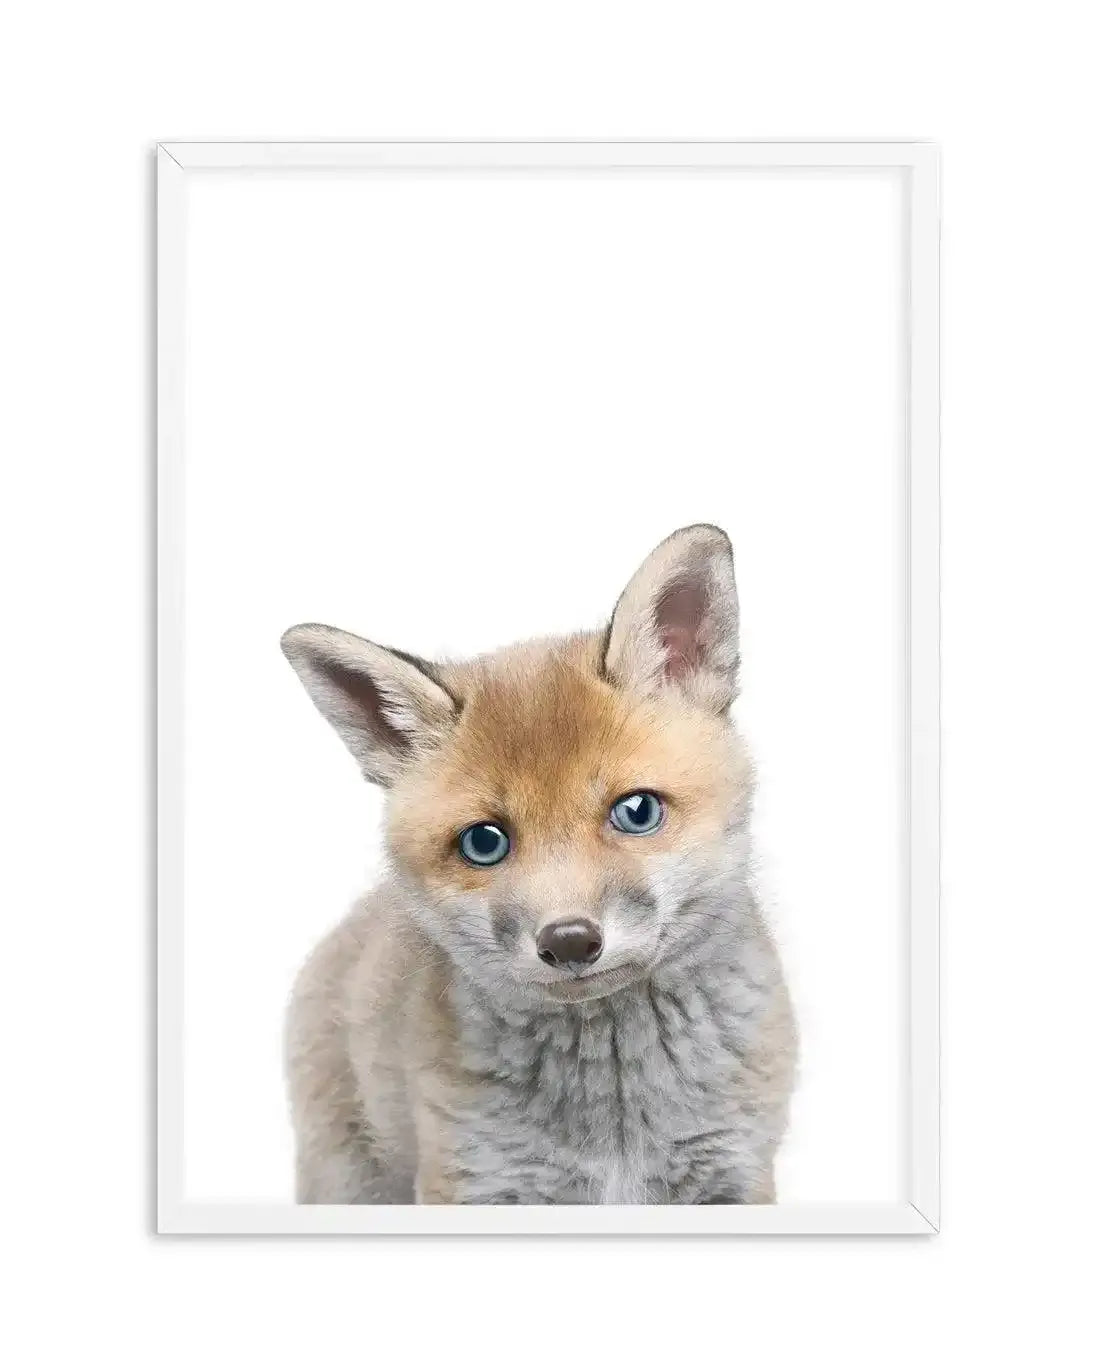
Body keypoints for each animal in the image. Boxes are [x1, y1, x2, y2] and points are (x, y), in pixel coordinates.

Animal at [280, 524, 796, 1205]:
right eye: (484, 842)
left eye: (636, 811)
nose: (570, 941)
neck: (617, 1123)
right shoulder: (476, 1179)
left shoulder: (733, 1171)